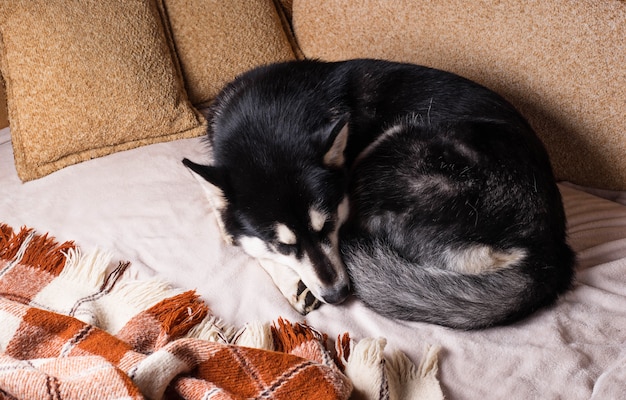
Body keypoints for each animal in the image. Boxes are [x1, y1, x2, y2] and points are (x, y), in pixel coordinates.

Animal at [183, 58, 572, 328]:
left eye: (329, 225)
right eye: (283, 244)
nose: (339, 295)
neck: (268, 115)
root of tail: (547, 249)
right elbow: (231, 224)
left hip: (393, 143)